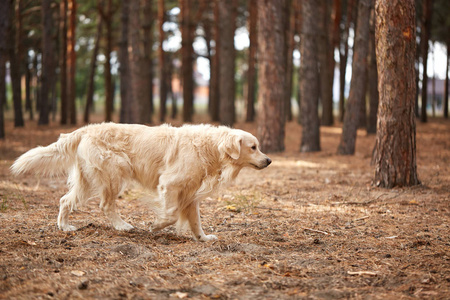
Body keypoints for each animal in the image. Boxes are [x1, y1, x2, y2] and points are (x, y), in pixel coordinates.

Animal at [10, 122, 270, 241]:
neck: (209, 147)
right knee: (106, 205)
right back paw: (122, 226)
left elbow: (195, 222)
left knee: (65, 200)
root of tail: (85, 129)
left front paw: (203, 239)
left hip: (87, 180)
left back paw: (64, 227)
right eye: (253, 147)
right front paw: (156, 225)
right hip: (115, 172)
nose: (268, 160)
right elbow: (171, 215)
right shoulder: (169, 184)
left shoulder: (190, 195)